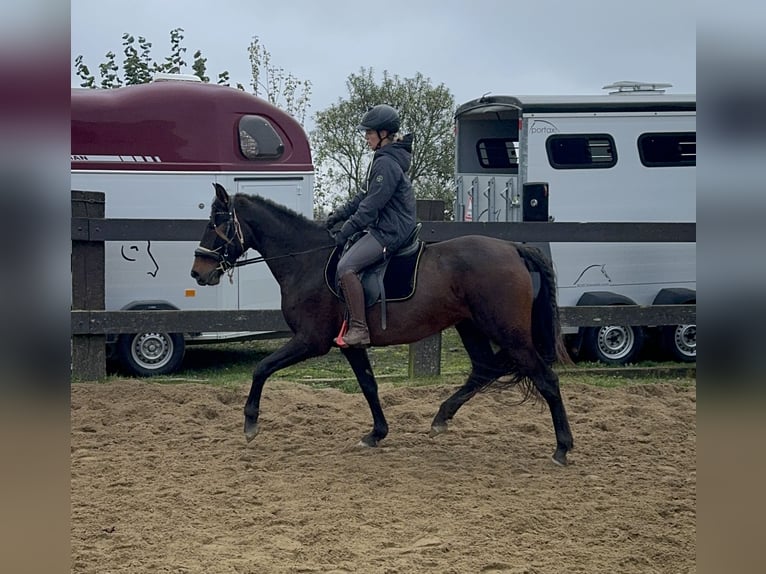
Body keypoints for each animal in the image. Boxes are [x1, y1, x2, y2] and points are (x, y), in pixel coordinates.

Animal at [192, 184, 576, 468]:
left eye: (215, 223)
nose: (198, 272)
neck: (306, 261)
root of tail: (513, 247)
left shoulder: (311, 340)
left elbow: (262, 368)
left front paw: (250, 423)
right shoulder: (350, 344)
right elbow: (369, 386)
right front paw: (377, 433)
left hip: (507, 332)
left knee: (545, 379)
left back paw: (562, 448)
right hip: (472, 327)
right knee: (484, 370)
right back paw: (441, 417)